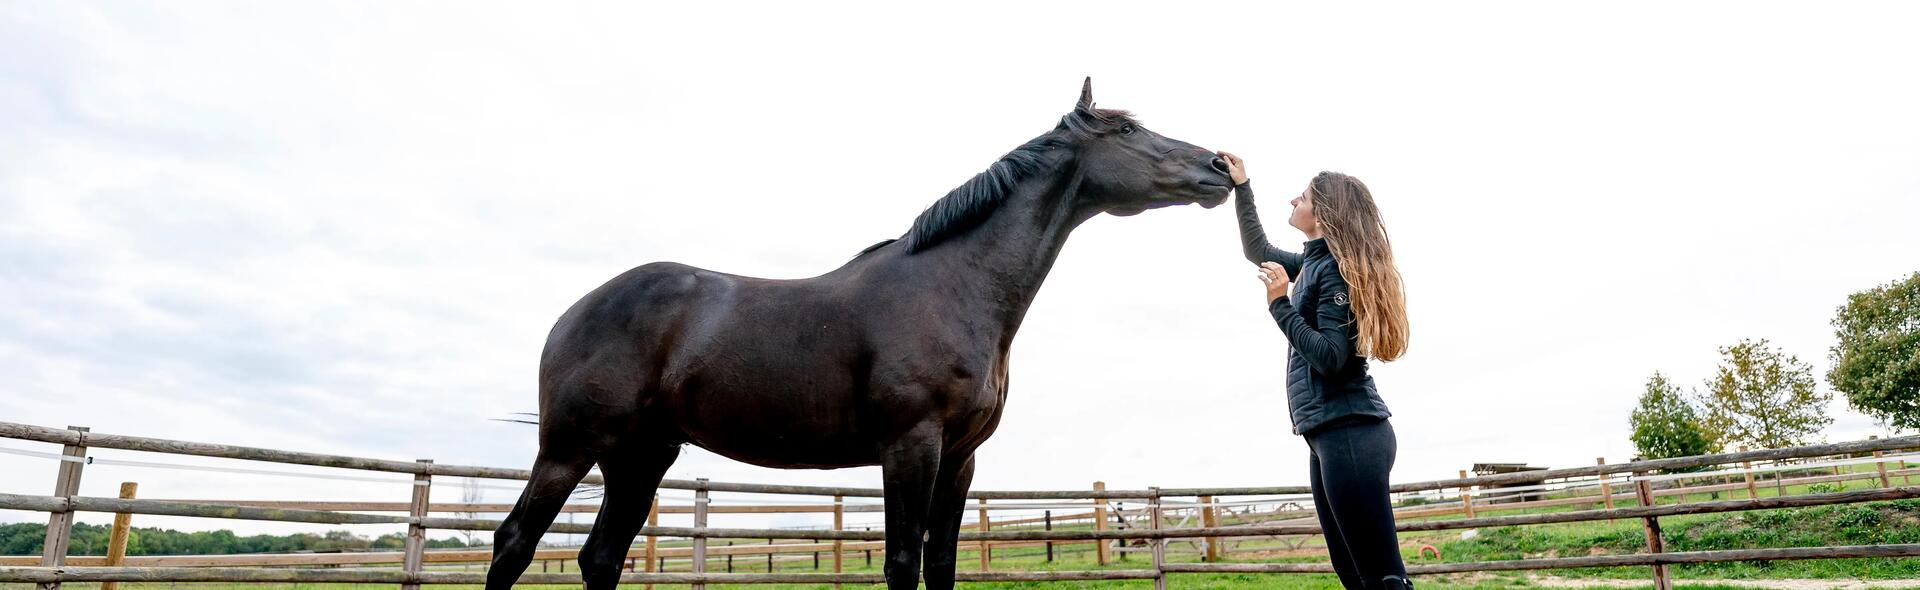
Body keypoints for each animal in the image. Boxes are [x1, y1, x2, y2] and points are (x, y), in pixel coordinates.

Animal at [483, 79, 1228, 590]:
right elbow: (901, 562)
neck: (951, 286)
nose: (1219, 167)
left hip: (640, 457)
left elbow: (942, 563)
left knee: (600, 557)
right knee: (515, 541)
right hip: (571, 448)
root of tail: (576, 310)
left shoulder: (961, 459)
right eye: (1125, 129)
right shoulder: (910, 446)